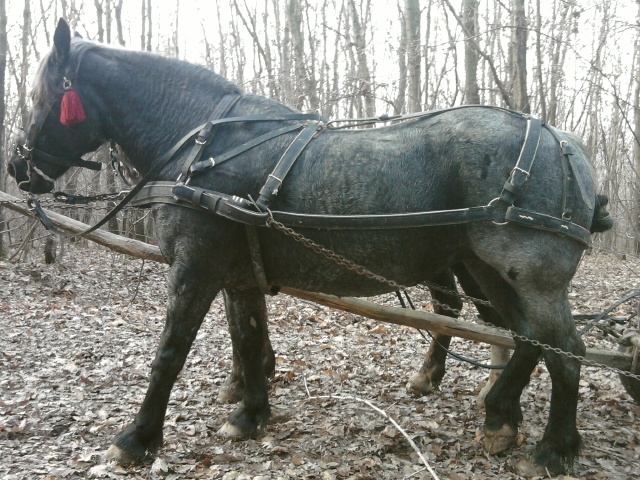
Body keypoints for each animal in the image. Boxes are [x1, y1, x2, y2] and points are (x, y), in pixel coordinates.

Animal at [8, 19, 608, 476]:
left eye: (39, 96)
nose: (17, 166)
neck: (203, 142)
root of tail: (566, 145)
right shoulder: (238, 274)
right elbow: (248, 340)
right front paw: (249, 415)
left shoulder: (195, 268)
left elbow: (170, 353)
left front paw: (136, 438)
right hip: (487, 270)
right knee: (526, 337)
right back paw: (500, 414)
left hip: (528, 275)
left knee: (565, 349)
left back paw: (554, 448)